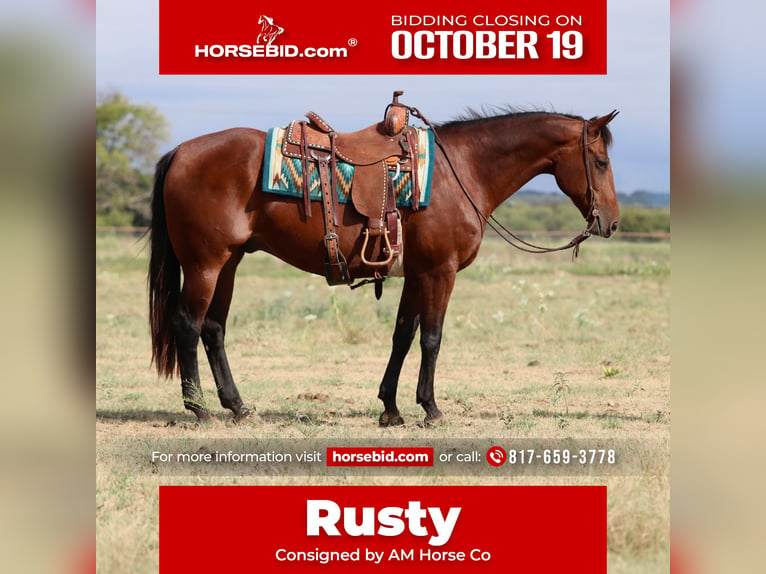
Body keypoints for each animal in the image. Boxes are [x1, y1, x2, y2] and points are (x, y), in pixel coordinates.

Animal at [148, 104, 620, 426]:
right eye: (600, 161)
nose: (611, 222)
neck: (463, 171)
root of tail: (181, 152)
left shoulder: (415, 273)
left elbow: (402, 336)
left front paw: (391, 408)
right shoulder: (440, 272)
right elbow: (431, 338)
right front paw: (430, 408)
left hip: (227, 263)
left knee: (213, 328)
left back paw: (237, 405)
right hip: (206, 264)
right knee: (189, 324)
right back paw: (199, 408)